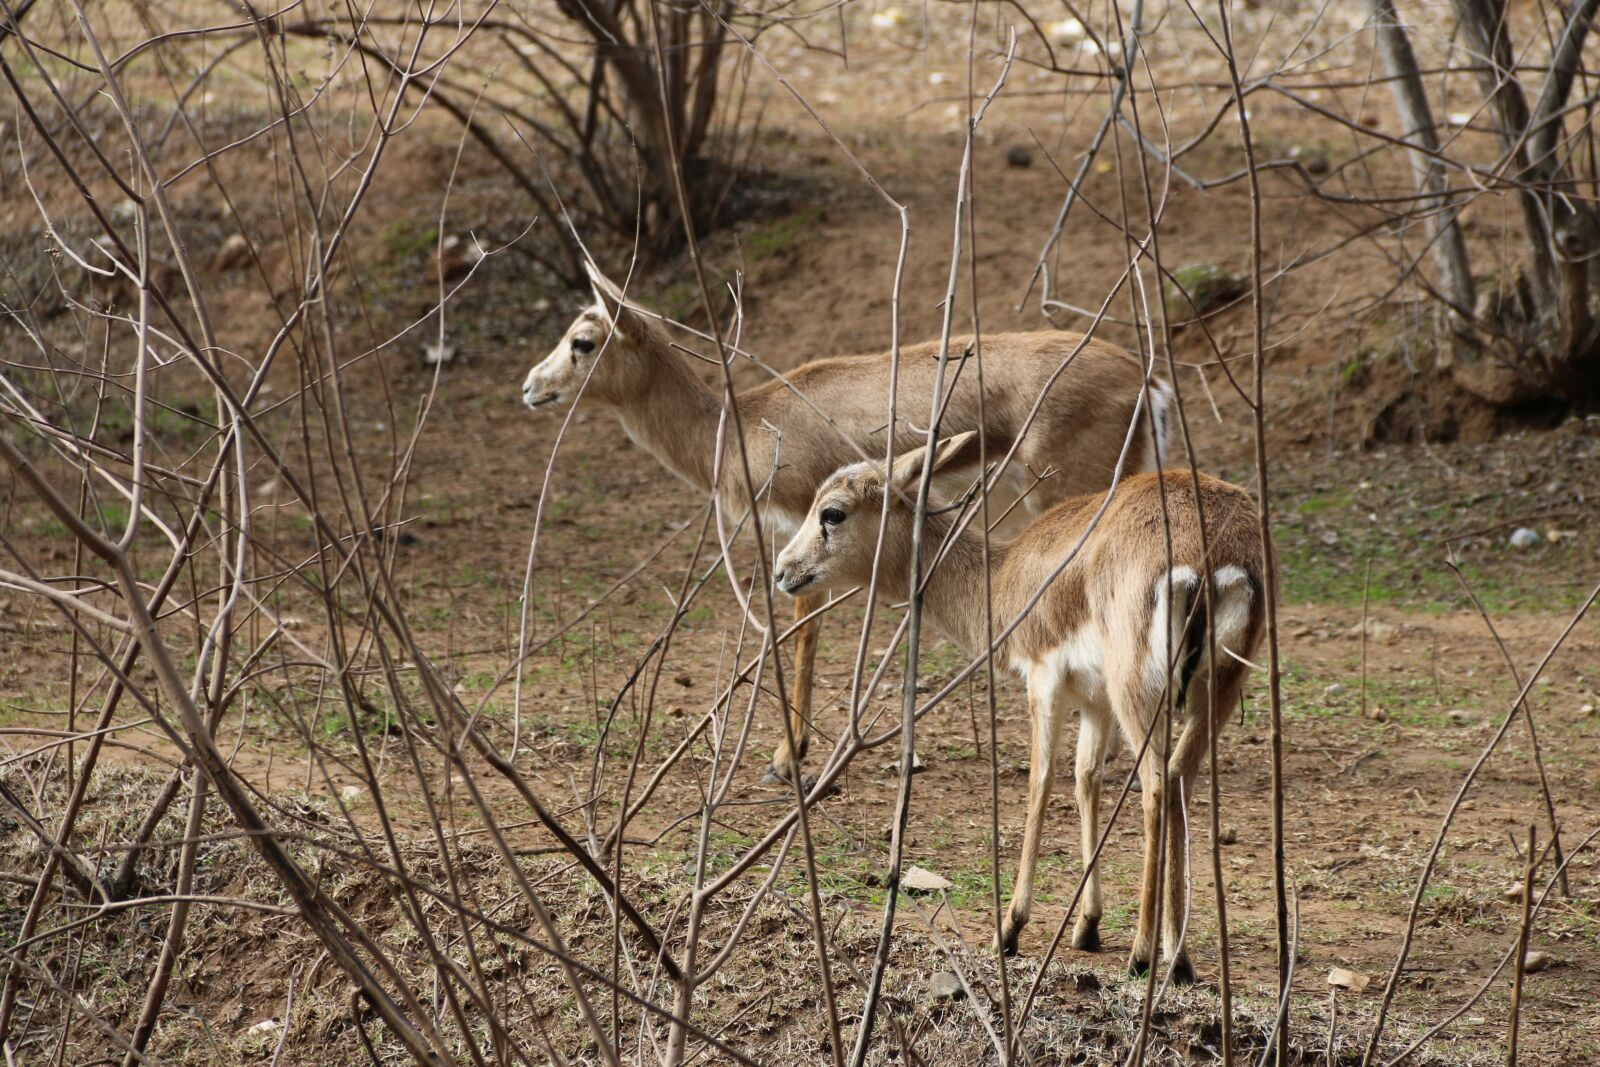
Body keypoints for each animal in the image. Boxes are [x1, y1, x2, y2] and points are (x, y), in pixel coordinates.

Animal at [522, 265, 1173, 784]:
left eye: (583, 341)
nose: (530, 387)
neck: (742, 425)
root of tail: (1145, 379)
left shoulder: (802, 532)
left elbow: (802, 627)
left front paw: (788, 757)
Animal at [772, 433, 1265, 980]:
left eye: (832, 512)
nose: (783, 571)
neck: (1004, 578)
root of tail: (1209, 553)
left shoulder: (1043, 678)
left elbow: (1040, 780)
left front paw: (1008, 928)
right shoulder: (1095, 702)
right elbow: (1085, 778)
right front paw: (1087, 926)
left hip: (1140, 690)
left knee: (1156, 784)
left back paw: (1143, 954)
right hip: (1216, 691)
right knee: (1178, 778)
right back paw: (1178, 958)